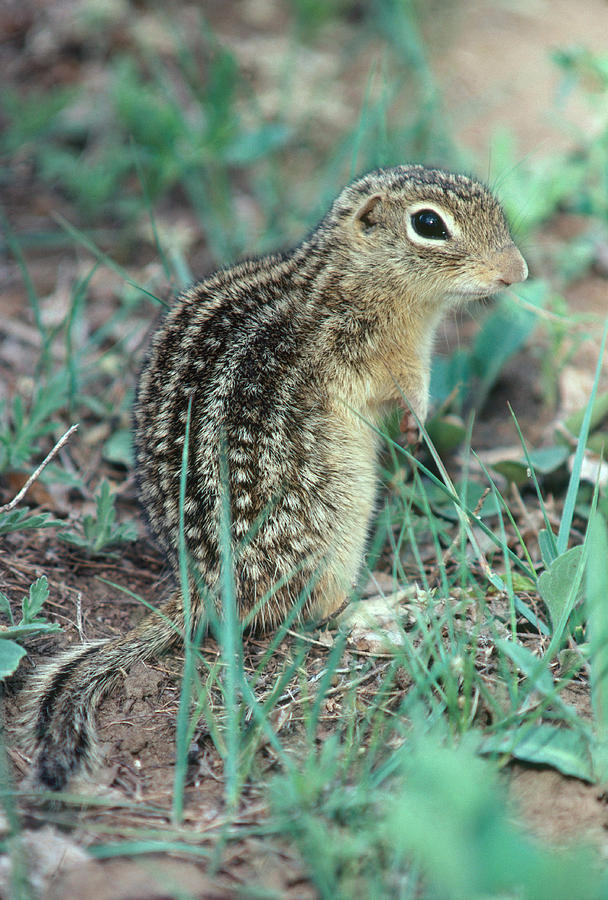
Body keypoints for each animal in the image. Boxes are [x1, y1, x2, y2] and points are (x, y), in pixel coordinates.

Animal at [23, 167, 528, 788]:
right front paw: (418, 424)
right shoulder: (377, 357)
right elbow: (406, 390)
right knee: (319, 615)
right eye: (429, 224)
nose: (517, 272)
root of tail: (205, 586)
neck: (352, 281)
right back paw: (386, 607)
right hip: (336, 533)